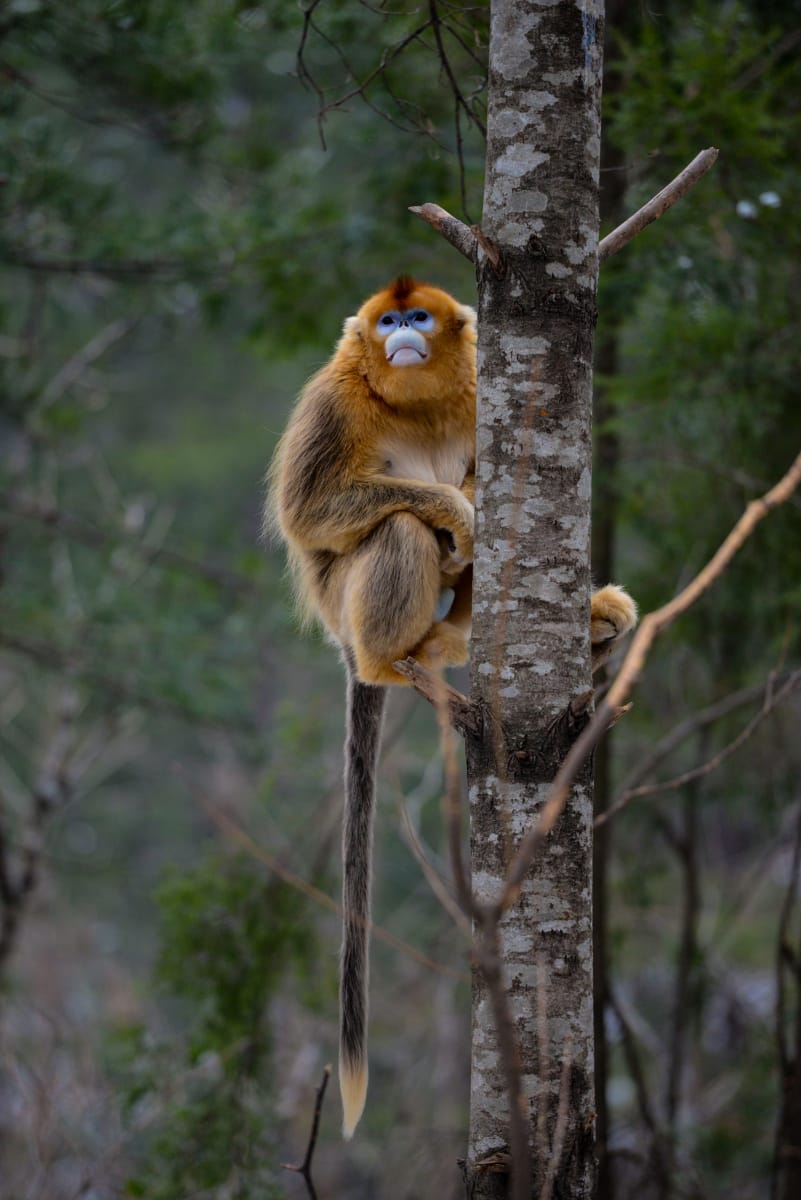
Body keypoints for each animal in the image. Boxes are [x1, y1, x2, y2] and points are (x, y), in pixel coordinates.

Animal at [268, 276, 637, 1139]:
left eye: (419, 318)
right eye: (388, 321)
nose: (402, 333)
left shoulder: (480, 393)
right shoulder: (334, 399)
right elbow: (311, 510)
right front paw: (454, 507)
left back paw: (561, 626)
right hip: (343, 603)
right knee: (405, 526)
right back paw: (396, 649)